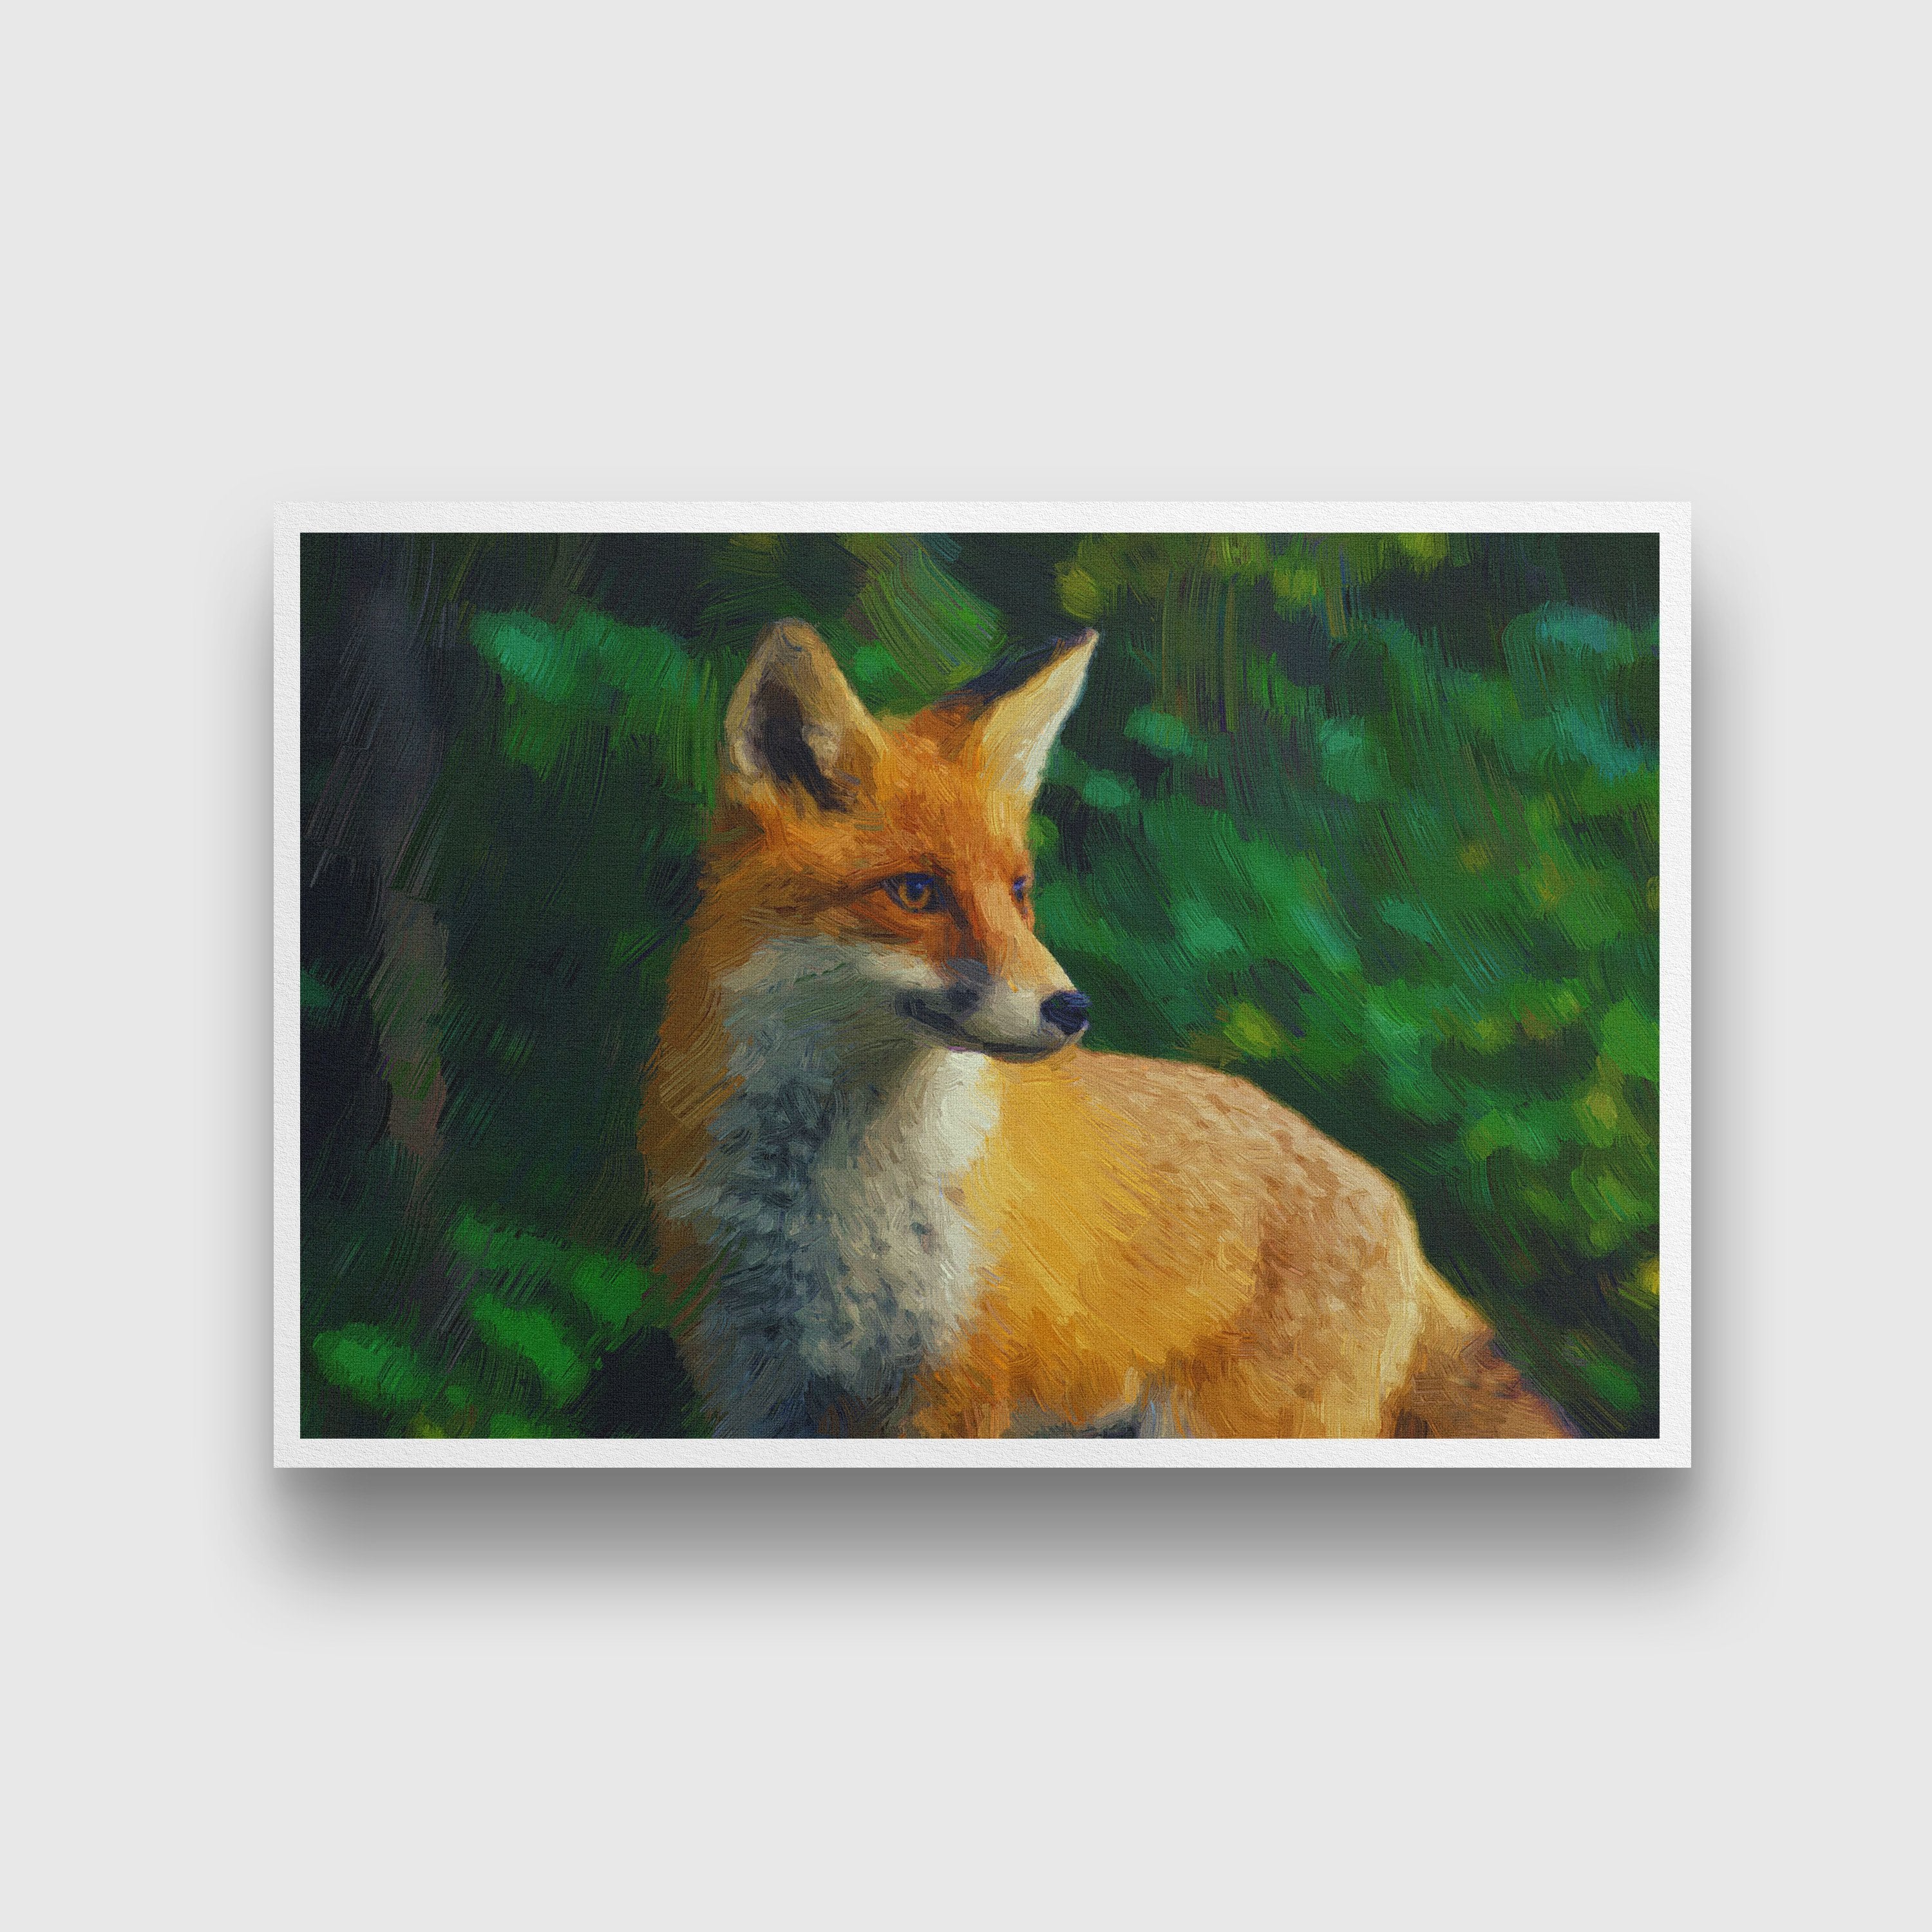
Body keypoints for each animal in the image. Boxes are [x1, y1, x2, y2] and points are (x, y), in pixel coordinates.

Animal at [640, 618, 1572, 1439]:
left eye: (1018, 890)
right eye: (916, 892)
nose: (1071, 1008)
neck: (826, 1200)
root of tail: (1388, 1199)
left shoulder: (956, 1389)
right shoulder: (759, 1390)